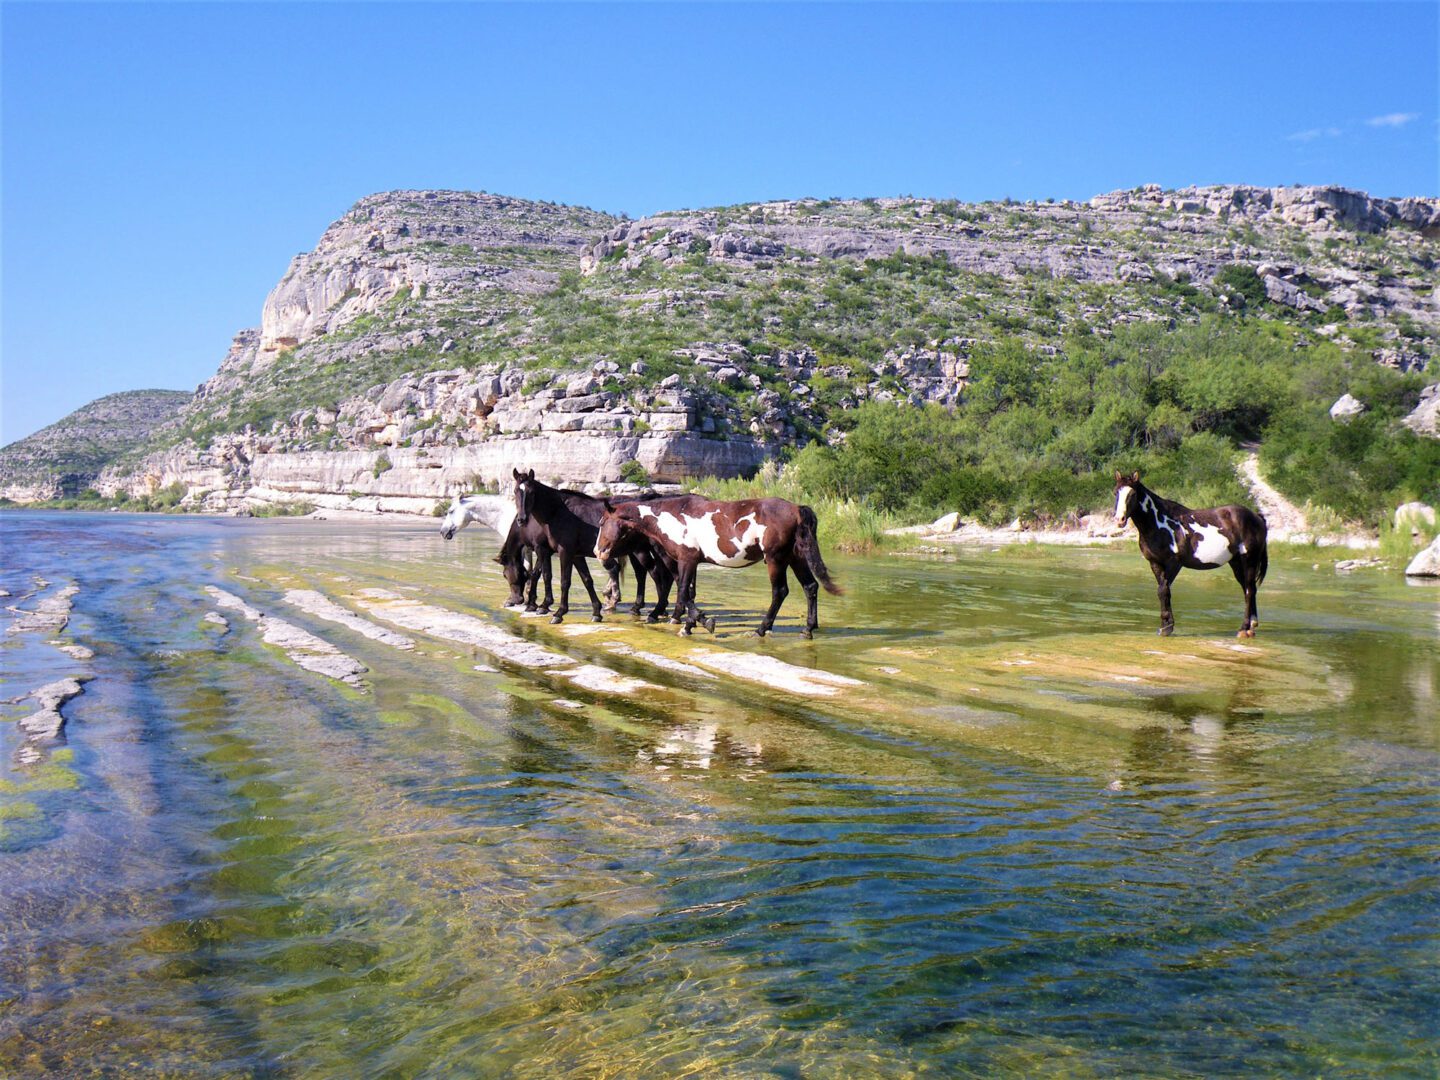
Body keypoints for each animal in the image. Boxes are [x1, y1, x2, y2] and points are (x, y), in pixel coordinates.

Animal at [596, 495, 840, 639]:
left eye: (602, 522)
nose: (599, 551)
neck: (672, 516)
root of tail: (797, 509)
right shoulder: (691, 563)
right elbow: (688, 593)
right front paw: (690, 624)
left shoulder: (686, 560)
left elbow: (683, 593)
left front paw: (703, 622)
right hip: (795, 558)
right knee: (810, 587)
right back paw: (808, 629)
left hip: (776, 560)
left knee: (780, 592)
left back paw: (761, 629)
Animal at [1117, 472, 1267, 639]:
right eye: (1116, 492)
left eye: (1132, 494)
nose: (1119, 520)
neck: (1158, 524)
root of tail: (1257, 517)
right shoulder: (1155, 563)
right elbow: (1162, 591)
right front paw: (1164, 626)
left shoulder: (1173, 563)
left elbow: (1164, 590)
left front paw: (1167, 627)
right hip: (1236, 562)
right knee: (1248, 588)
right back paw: (1251, 627)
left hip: (1249, 560)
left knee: (1249, 590)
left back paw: (1243, 629)